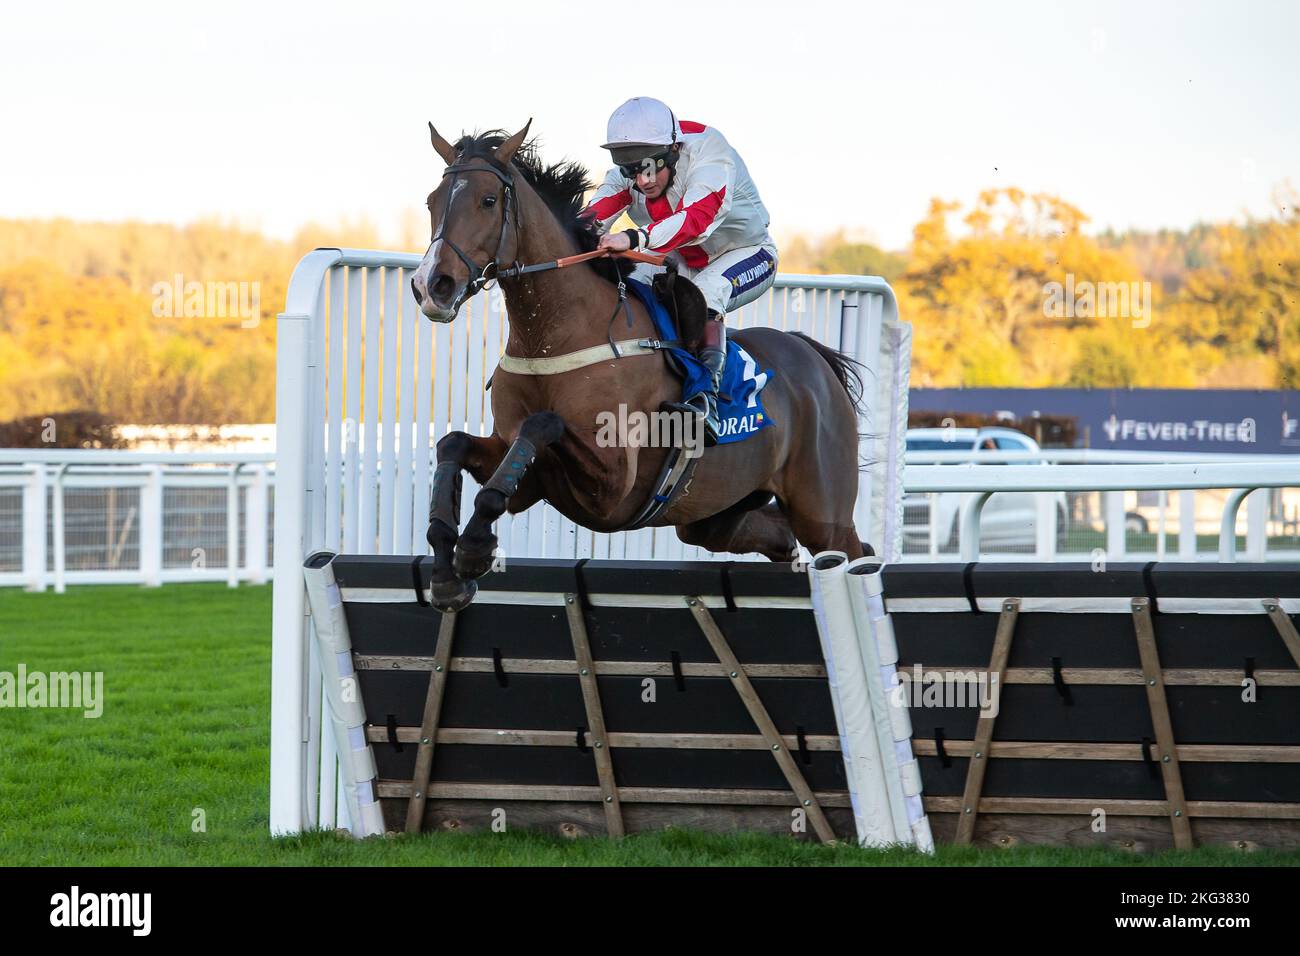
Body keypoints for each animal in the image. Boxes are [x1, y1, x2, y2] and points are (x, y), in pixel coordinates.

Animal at [410, 120, 868, 611]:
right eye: (432, 202)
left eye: (488, 201)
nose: (431, 285)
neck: (557, 336)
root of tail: (813, 356)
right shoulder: (529, 474)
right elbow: (453, 445)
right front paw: (448, 567)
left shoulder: (612, 485)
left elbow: (542, 425)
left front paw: (474, 549)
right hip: (714, 514)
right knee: (779, 537)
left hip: (824, 513)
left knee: (851, 550)